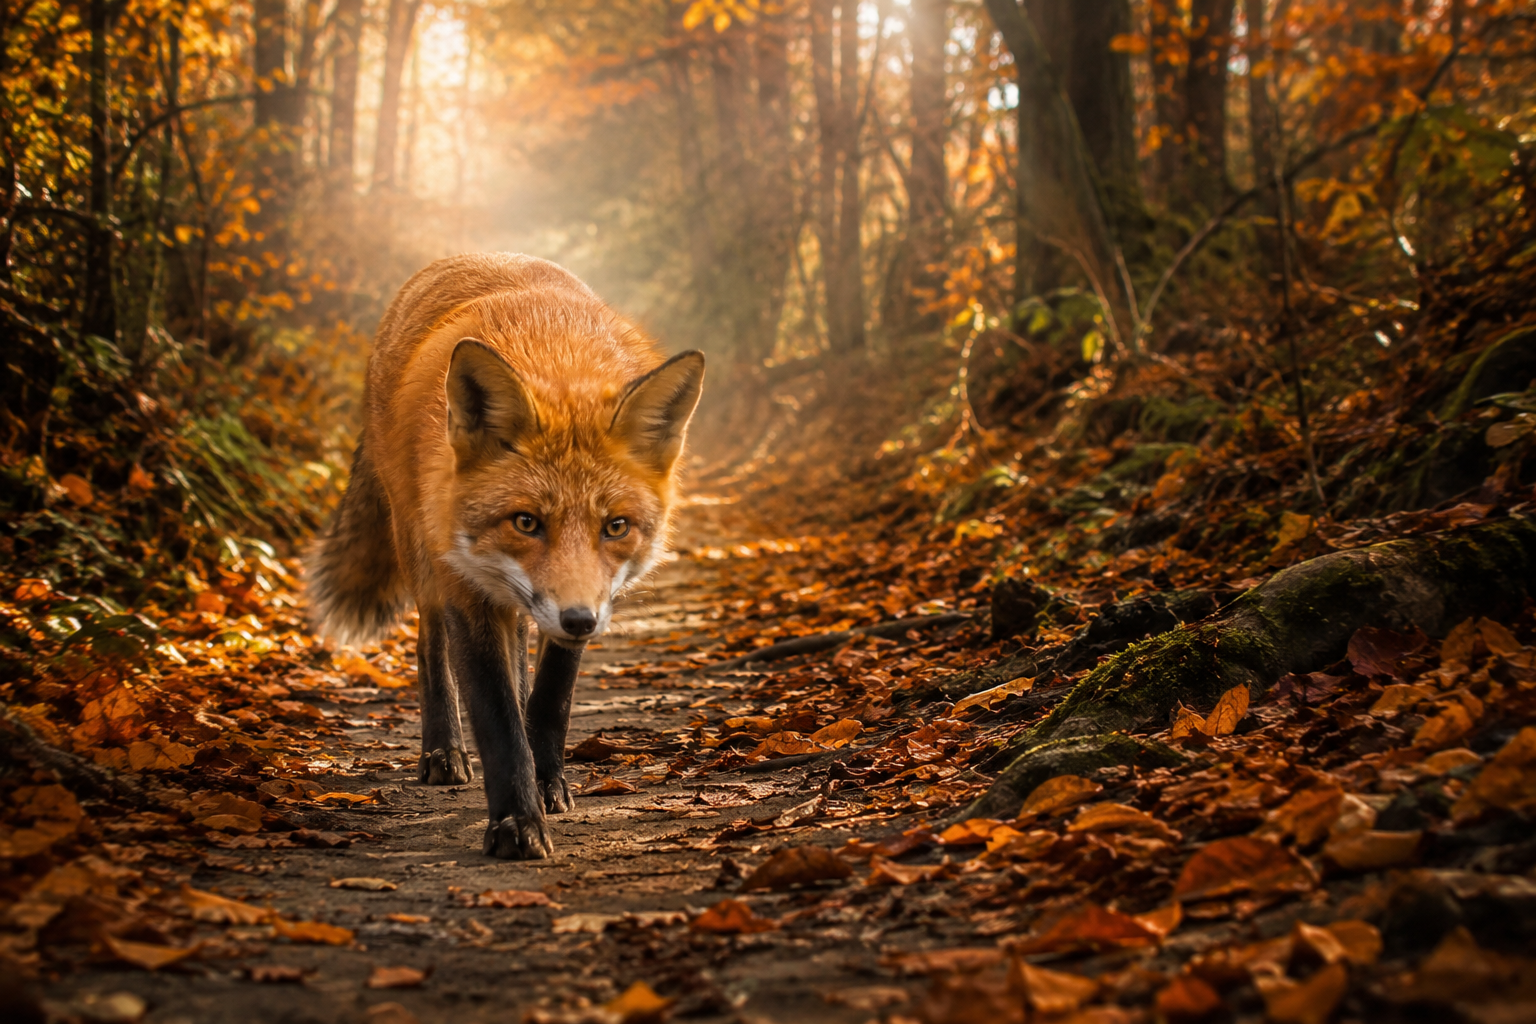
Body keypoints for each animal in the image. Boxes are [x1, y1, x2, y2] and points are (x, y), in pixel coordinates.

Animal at [306, 253, 704, 859]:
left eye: (615, 527)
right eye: (526, 522)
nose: (579, 620)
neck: (554, 354)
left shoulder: (583, 603)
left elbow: (550, 699)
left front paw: (545, 780)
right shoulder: (466, 588)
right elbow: (496, 718)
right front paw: (517, 821)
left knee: (518, 650)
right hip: (420, 553)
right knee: (430, 650)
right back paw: (443, 752)